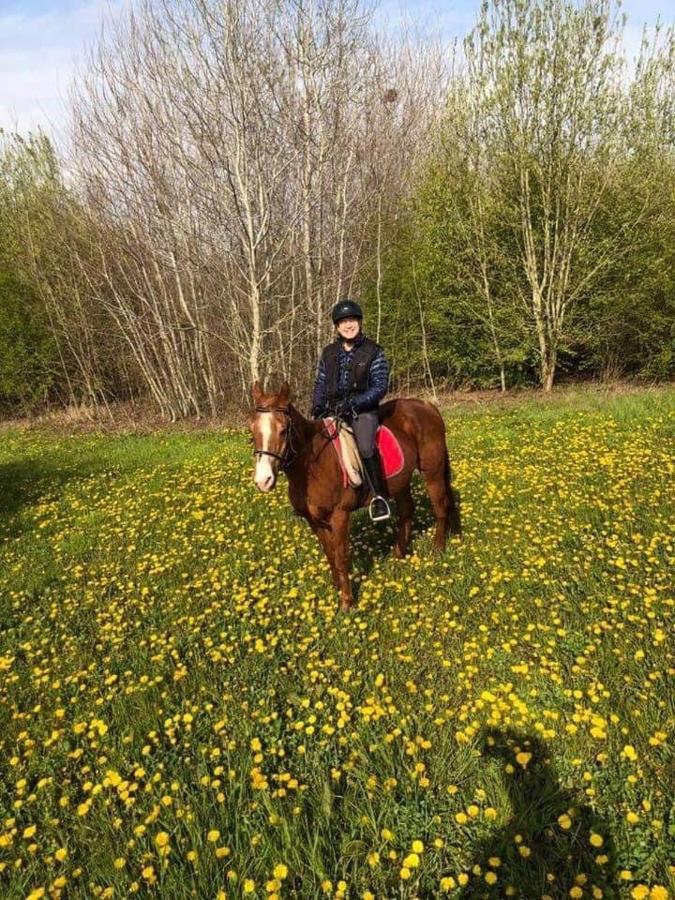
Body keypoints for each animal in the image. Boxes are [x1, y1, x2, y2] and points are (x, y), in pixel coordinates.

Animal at [251, 382, 462, 612]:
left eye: (283, 430)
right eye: (252, 431)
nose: (263, 480)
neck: (314, 465)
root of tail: (427, 406)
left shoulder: (340, 516)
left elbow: (341, 557)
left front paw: (346, 602)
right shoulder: (314, 520)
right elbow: (329, 553)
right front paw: (336, 588)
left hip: (433, 473)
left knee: (440, 507)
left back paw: (437, 550)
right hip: (402, 482)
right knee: (407, 511)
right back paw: (398, 555)